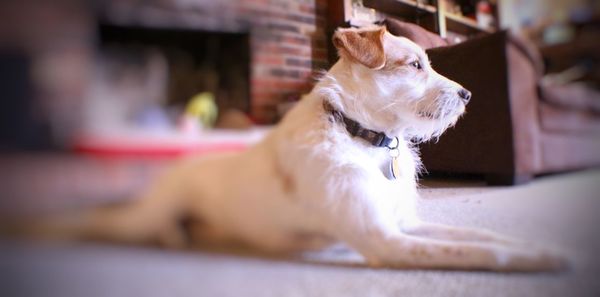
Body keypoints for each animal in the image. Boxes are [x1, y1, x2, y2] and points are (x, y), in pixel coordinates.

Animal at [15, 26, 568, 270]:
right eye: (415, 65)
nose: (469, 94)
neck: (361, 136)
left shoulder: (403, 224)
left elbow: (482, 236)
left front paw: (540, 248)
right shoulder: (385, 241)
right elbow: (482, 251)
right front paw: (545, 263)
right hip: (148, 214)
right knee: (113, 226)